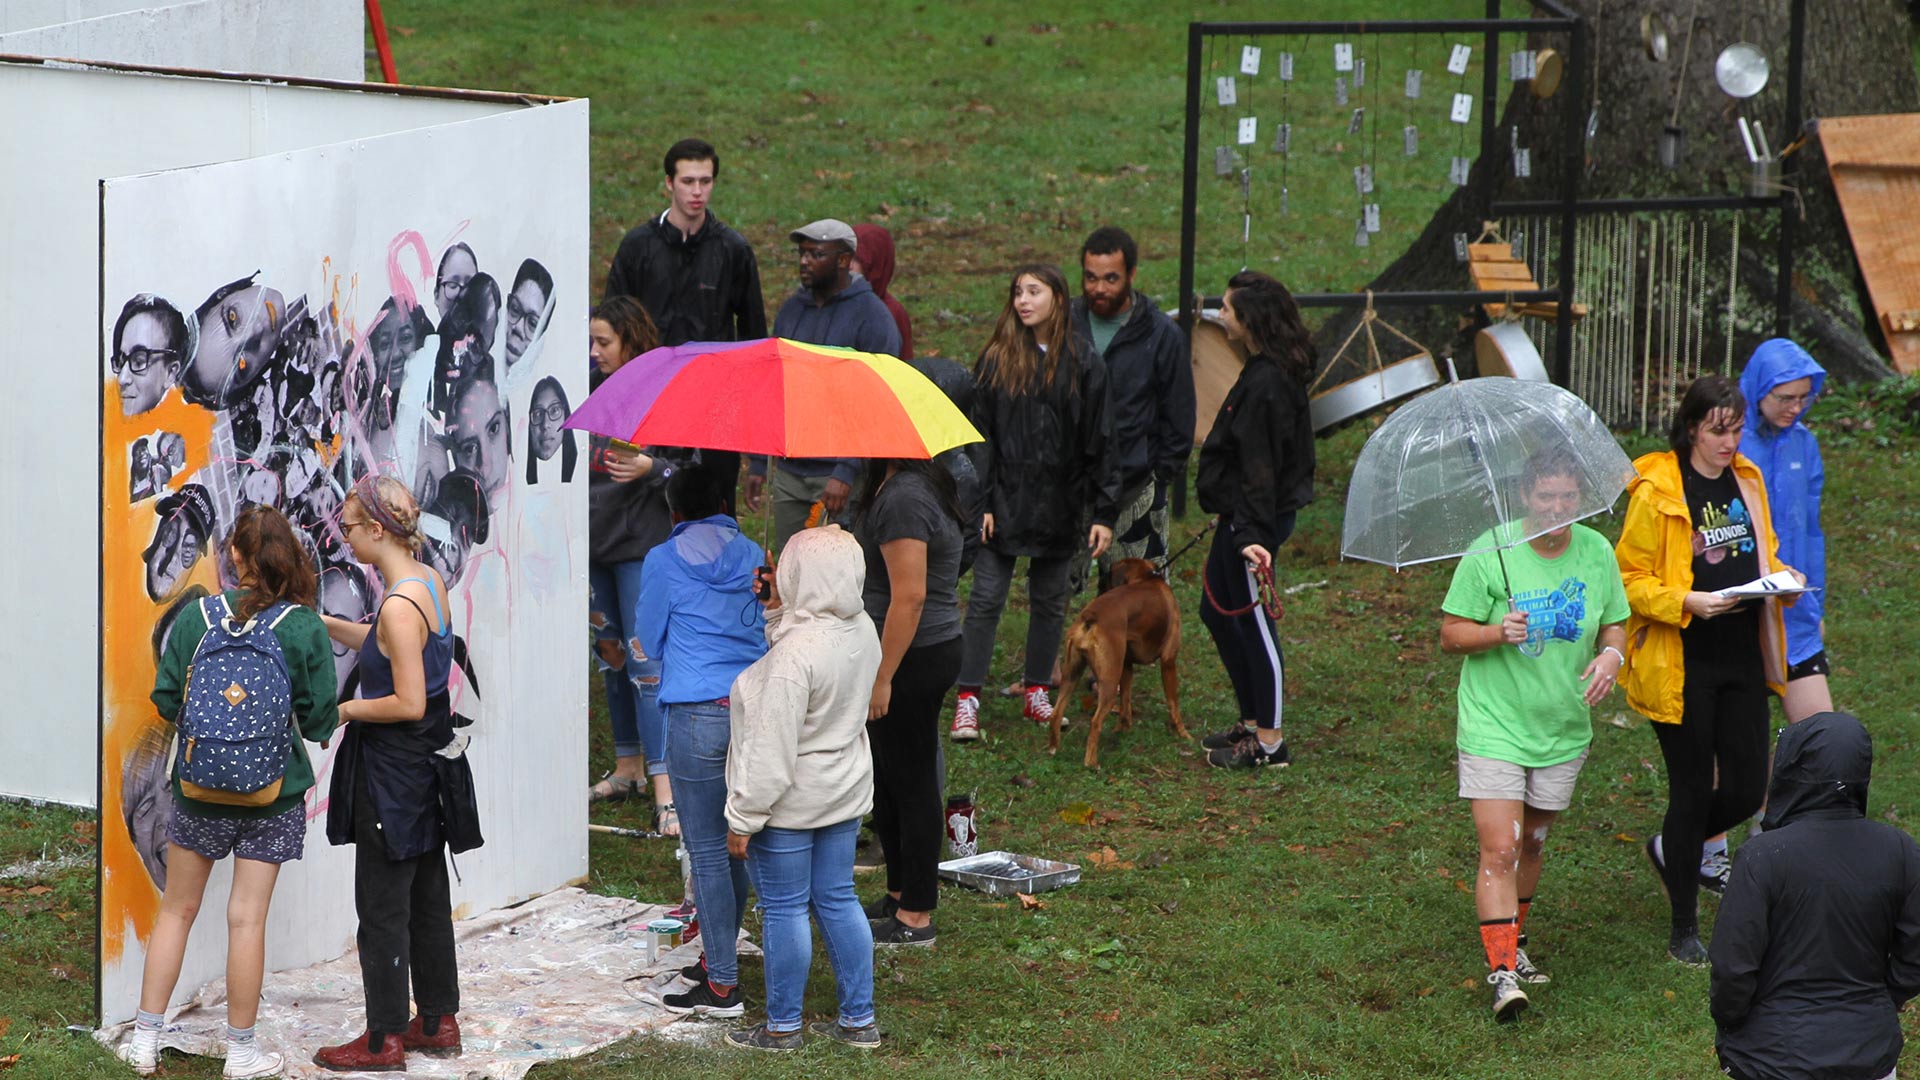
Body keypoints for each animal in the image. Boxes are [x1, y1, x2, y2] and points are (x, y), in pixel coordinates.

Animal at [1052, 553, 1182, 764]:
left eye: (1107, 575)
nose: (1100, 584)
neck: (1147, 578)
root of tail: (1090, 617)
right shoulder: (1168, 662)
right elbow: (1173, 704)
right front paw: (1184, 734)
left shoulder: (1126, 667)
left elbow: (1125, 704)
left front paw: (1123, 729)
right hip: (1109, 684)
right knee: (1095, 722)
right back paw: (1091, 763)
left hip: (1072, 674)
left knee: (1056, 713)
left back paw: (1053, 749)